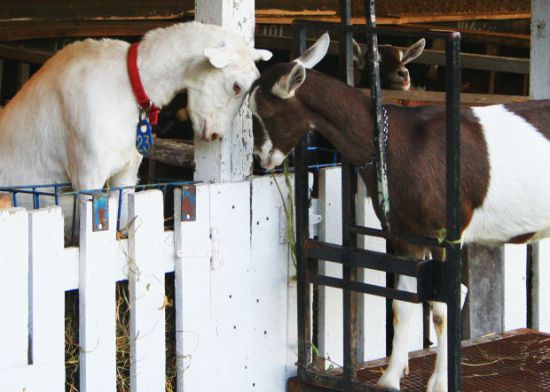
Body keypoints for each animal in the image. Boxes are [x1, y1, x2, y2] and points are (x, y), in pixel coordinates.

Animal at [249, 32, 550, 390]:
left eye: (263, 112)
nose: (260, 160)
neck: (398, 145)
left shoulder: (444, 234)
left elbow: (443, 308)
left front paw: (439, 383)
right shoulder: (406, 234)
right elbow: (402, 304)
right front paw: (390, 378)